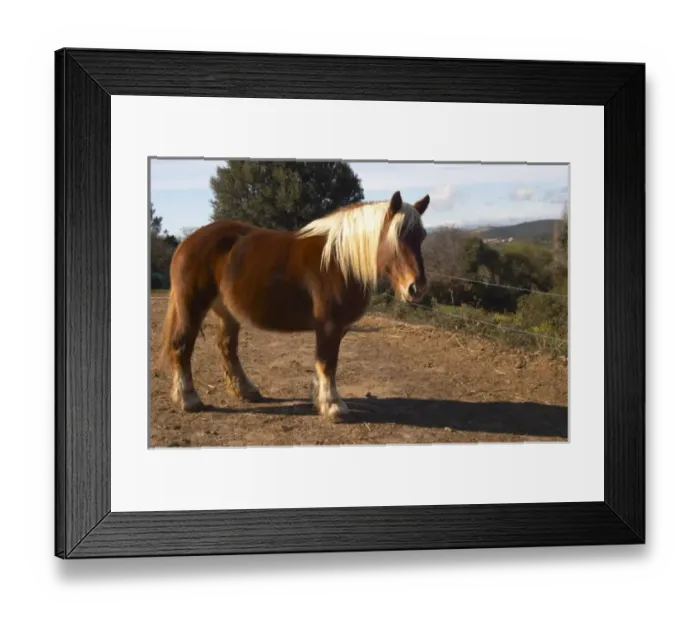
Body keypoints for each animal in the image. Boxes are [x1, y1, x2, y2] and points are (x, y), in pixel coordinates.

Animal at [158, 190, 430, 422]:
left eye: (421, 237)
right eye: (397, 237)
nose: (415, 288)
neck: (339, 261)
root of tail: (187, 241)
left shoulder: (337, 328)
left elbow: (323, 363)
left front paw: (320, 400)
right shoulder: (329, 326)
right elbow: (328, 363)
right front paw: (333, 406)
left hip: (227, 312)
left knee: (228, 348)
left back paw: (247, 391)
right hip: (192, 307)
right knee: (182, 346)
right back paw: (189, 399)